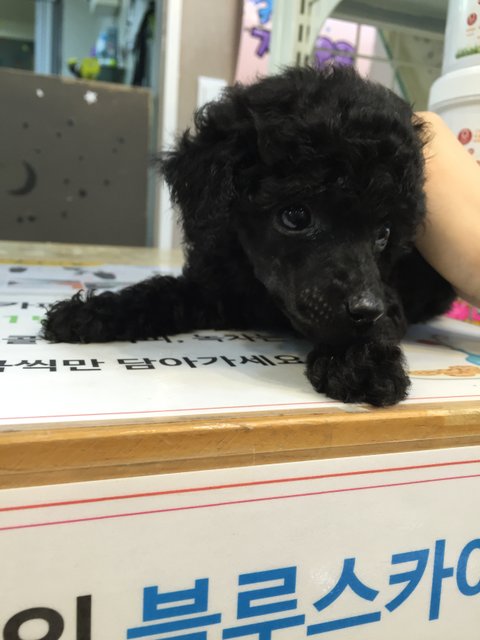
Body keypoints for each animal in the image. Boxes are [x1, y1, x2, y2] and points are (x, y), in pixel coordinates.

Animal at [42, 65, 455, 406]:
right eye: (295, 215)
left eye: (383, 233)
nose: (366, 308)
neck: (262, 292)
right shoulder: (215, 287)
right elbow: (160, 292)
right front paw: (90, 312)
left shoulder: (387, 293)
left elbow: (378, 323)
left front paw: (364, 363)